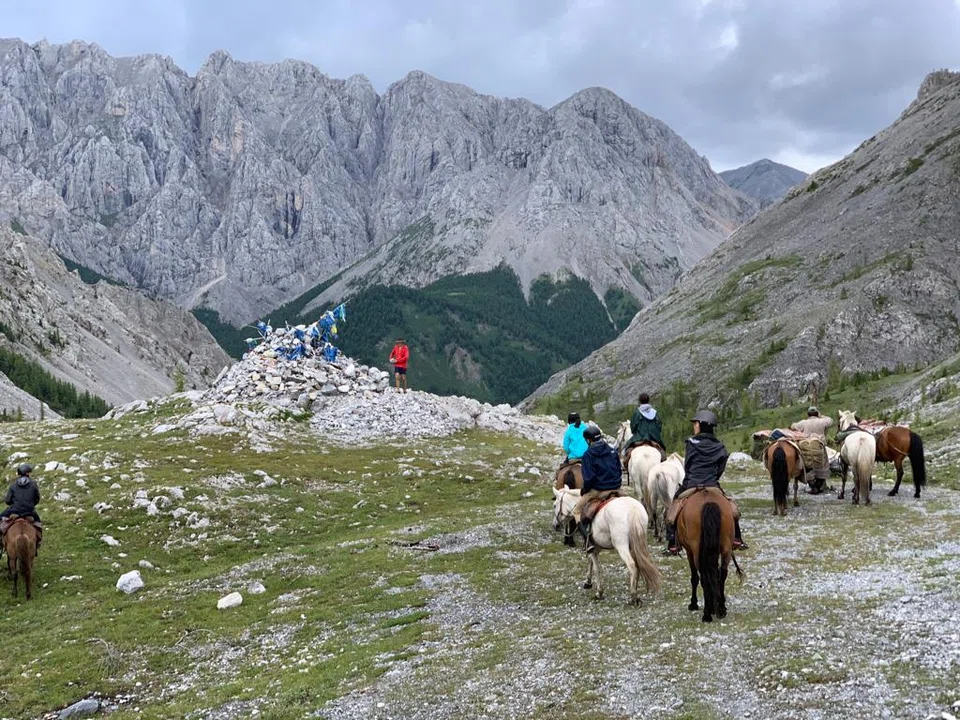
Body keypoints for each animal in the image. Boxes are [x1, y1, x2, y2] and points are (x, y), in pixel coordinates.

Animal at [675, 489, 744, 622]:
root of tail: (709, 501)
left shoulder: (689, 551)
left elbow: (694, 578)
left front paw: (693, 604)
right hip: (726, 547)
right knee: (722, 574)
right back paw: (721, 608)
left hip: (696, 550)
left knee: (704, 577)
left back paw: (707, 614)